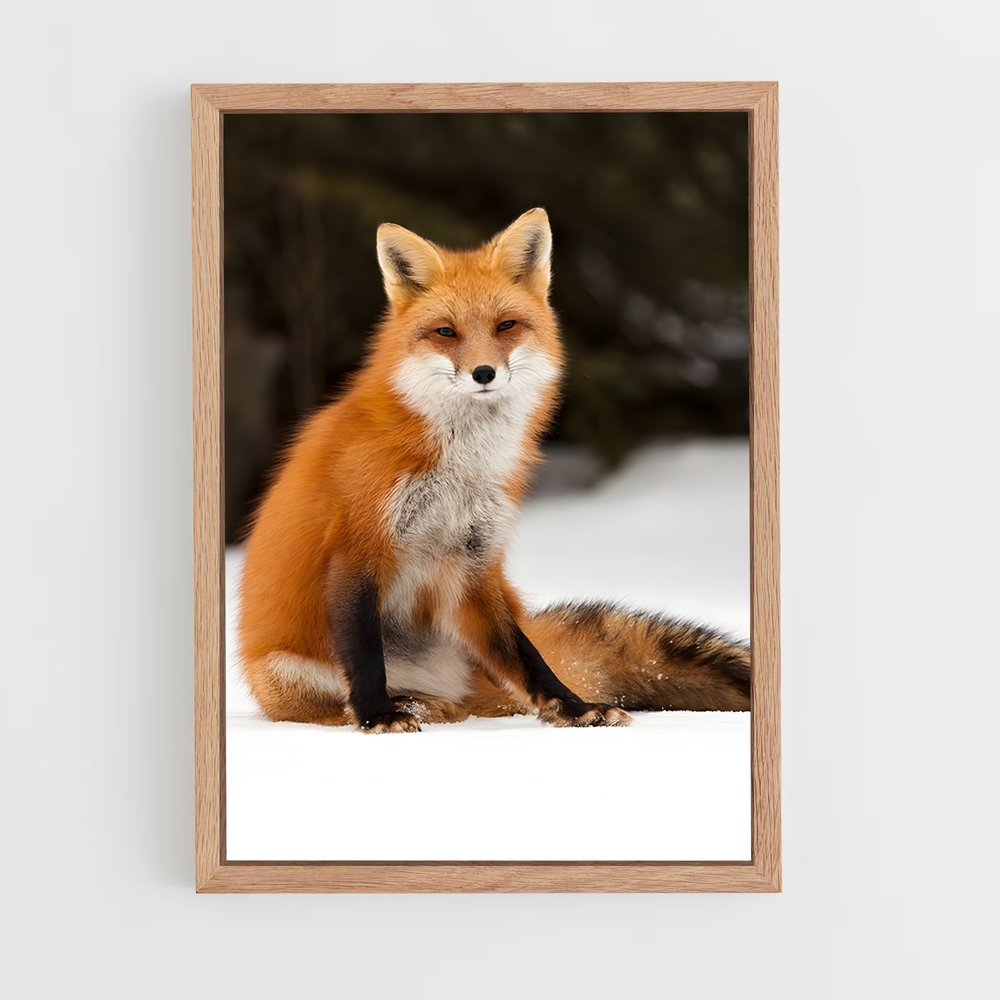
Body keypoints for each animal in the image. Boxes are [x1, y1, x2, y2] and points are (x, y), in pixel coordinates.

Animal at [237, 208, 750, 733]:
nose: (484, 373)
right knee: (340, 703)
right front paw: (377, 715)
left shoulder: (474, 563)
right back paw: (411, 705)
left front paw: (572, 707)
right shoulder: (357, 548)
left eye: (506, 326)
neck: (459, 468)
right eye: (446, 332)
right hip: (286, 672)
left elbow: (526, 657)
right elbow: (363, 655)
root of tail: (443, 684)